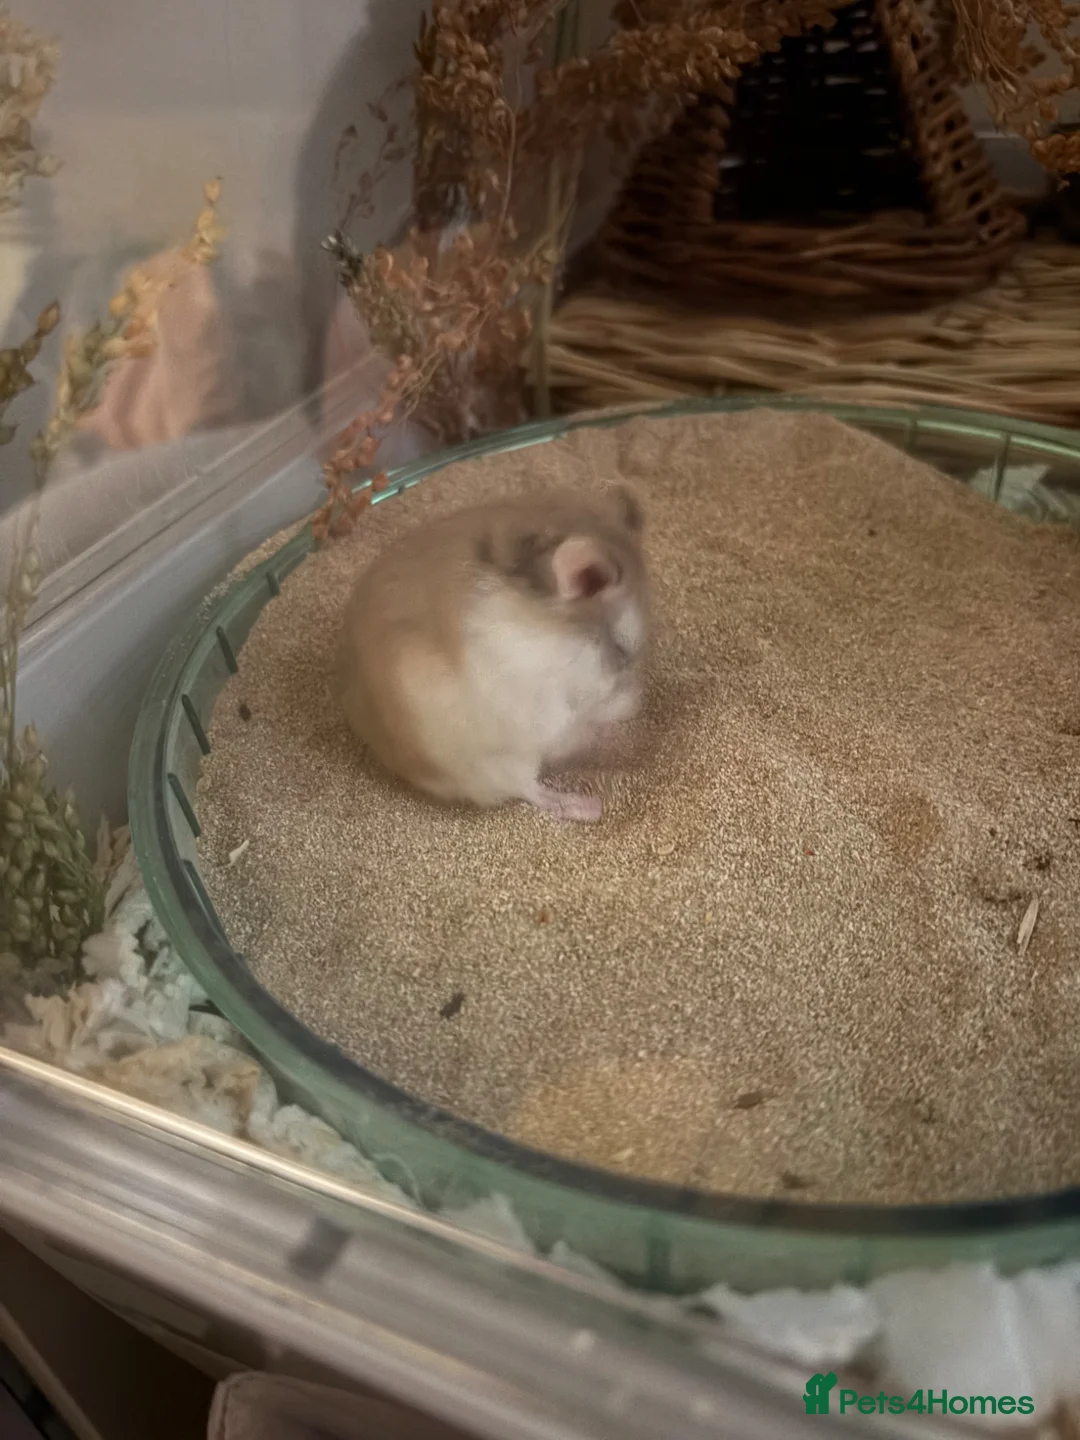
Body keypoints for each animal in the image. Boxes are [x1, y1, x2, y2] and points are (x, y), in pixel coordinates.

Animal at [336, 485, 650, 822]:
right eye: (621, 650)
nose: (637, 695)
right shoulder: (545, 707)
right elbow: (585, 724)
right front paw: (628, 715)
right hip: (499, 760)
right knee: (532, 790)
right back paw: (590, 807)